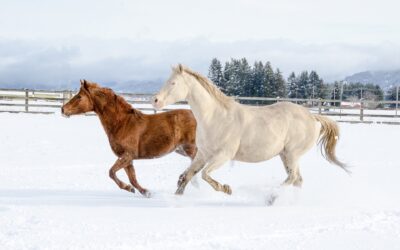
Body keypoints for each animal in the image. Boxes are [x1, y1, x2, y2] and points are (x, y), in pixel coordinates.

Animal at [61, 80, 197, 197]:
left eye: (79, 97)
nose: (63, 109)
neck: (122, 123)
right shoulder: (127, 159)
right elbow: (132, 179)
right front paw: (144, 192)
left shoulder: (127, 155)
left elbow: (111, 172)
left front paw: (130, 188)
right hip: (181, 149)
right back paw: (181, 182)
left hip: (190, 148)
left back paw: (181, 184)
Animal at [153, 64, 346, 195]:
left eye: (173, 83)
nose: (155, 100)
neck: (215, 117)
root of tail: (313, 117)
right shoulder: (203, 154)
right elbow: (186, 176)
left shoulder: (224, 155)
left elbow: (205, 175)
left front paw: (226, 189)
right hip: (285, 155)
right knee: (297, 179)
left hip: (292, 154)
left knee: (292, 178)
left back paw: (271, 197)